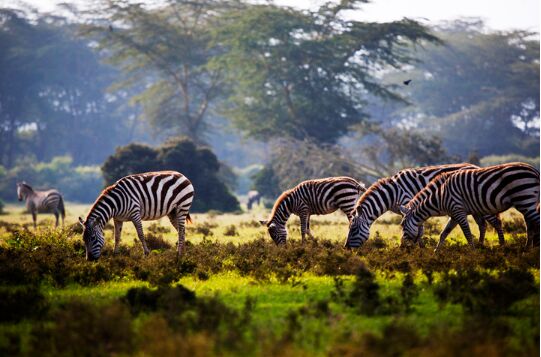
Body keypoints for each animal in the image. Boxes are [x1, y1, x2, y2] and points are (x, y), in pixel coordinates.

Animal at [344, 163, 504, 248]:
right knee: (482, 224)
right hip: (475, 208)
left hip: (482, 203)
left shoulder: (409, 203)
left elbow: (418, 229)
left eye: (354, 229)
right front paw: (417, 247)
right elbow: (416, 227)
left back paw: (501, 246)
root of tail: (475, 166)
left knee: (496, 222)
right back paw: (481, 246)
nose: (346, 249)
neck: (392, 193)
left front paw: (417, 248)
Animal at [398, 162, 536, 250]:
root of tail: (534, 170)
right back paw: (526, 250)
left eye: (402, 225)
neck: (440, 196)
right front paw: (435, 254)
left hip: (524, 199)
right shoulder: (454, 215)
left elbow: (467, 234)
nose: (401, 247)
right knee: (529, 225)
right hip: (525, 202)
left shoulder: (458, 211)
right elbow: (443, 233)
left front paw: (473, 254)